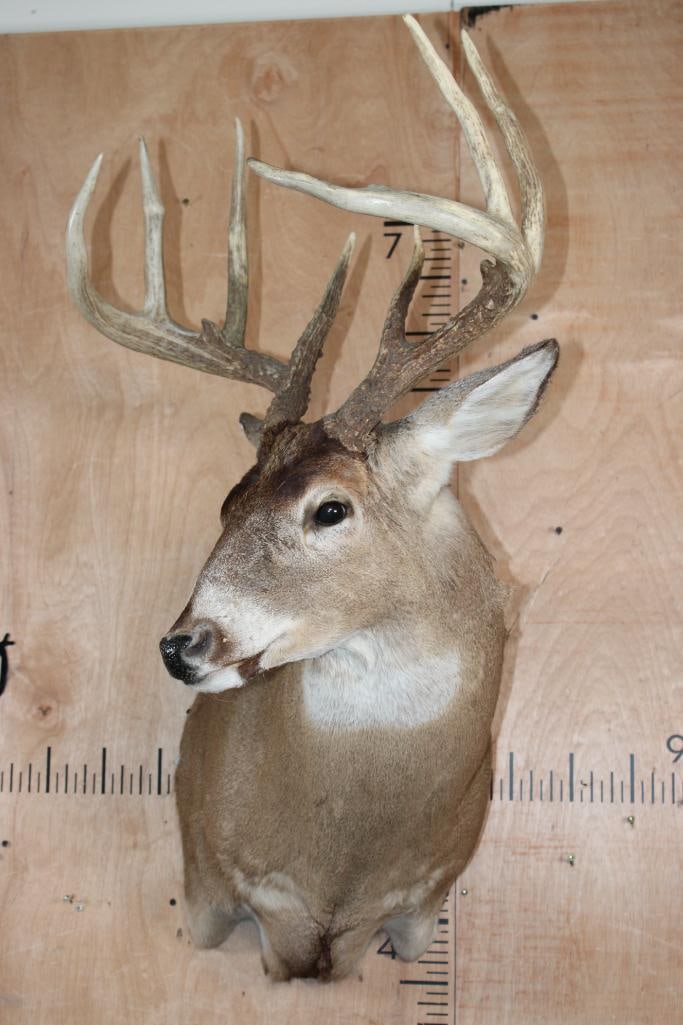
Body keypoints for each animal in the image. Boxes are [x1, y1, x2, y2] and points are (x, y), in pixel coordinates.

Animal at [66, 15, 558, 982]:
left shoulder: (422, 906)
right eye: (227, 500)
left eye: (330, 508)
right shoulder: (217, 890)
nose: (183, 645)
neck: (342, 860)